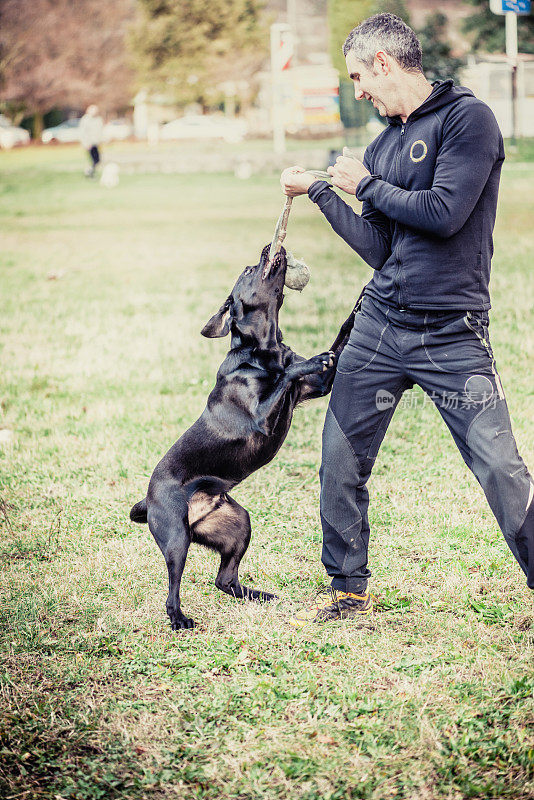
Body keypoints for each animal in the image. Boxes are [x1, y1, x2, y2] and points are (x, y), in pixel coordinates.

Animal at [129, 245, 356, 632]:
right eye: (250, 270)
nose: (269, 248)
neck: (264, 350)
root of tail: (148, 499)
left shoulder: (318, 387)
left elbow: (339, 337)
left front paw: (363, 300)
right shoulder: (260, 418)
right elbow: (290, 372)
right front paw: (309, 360)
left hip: (237, 525)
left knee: (224, 580)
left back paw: (259, 596)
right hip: (176, 537)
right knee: (173, 589)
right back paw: (180, 620)